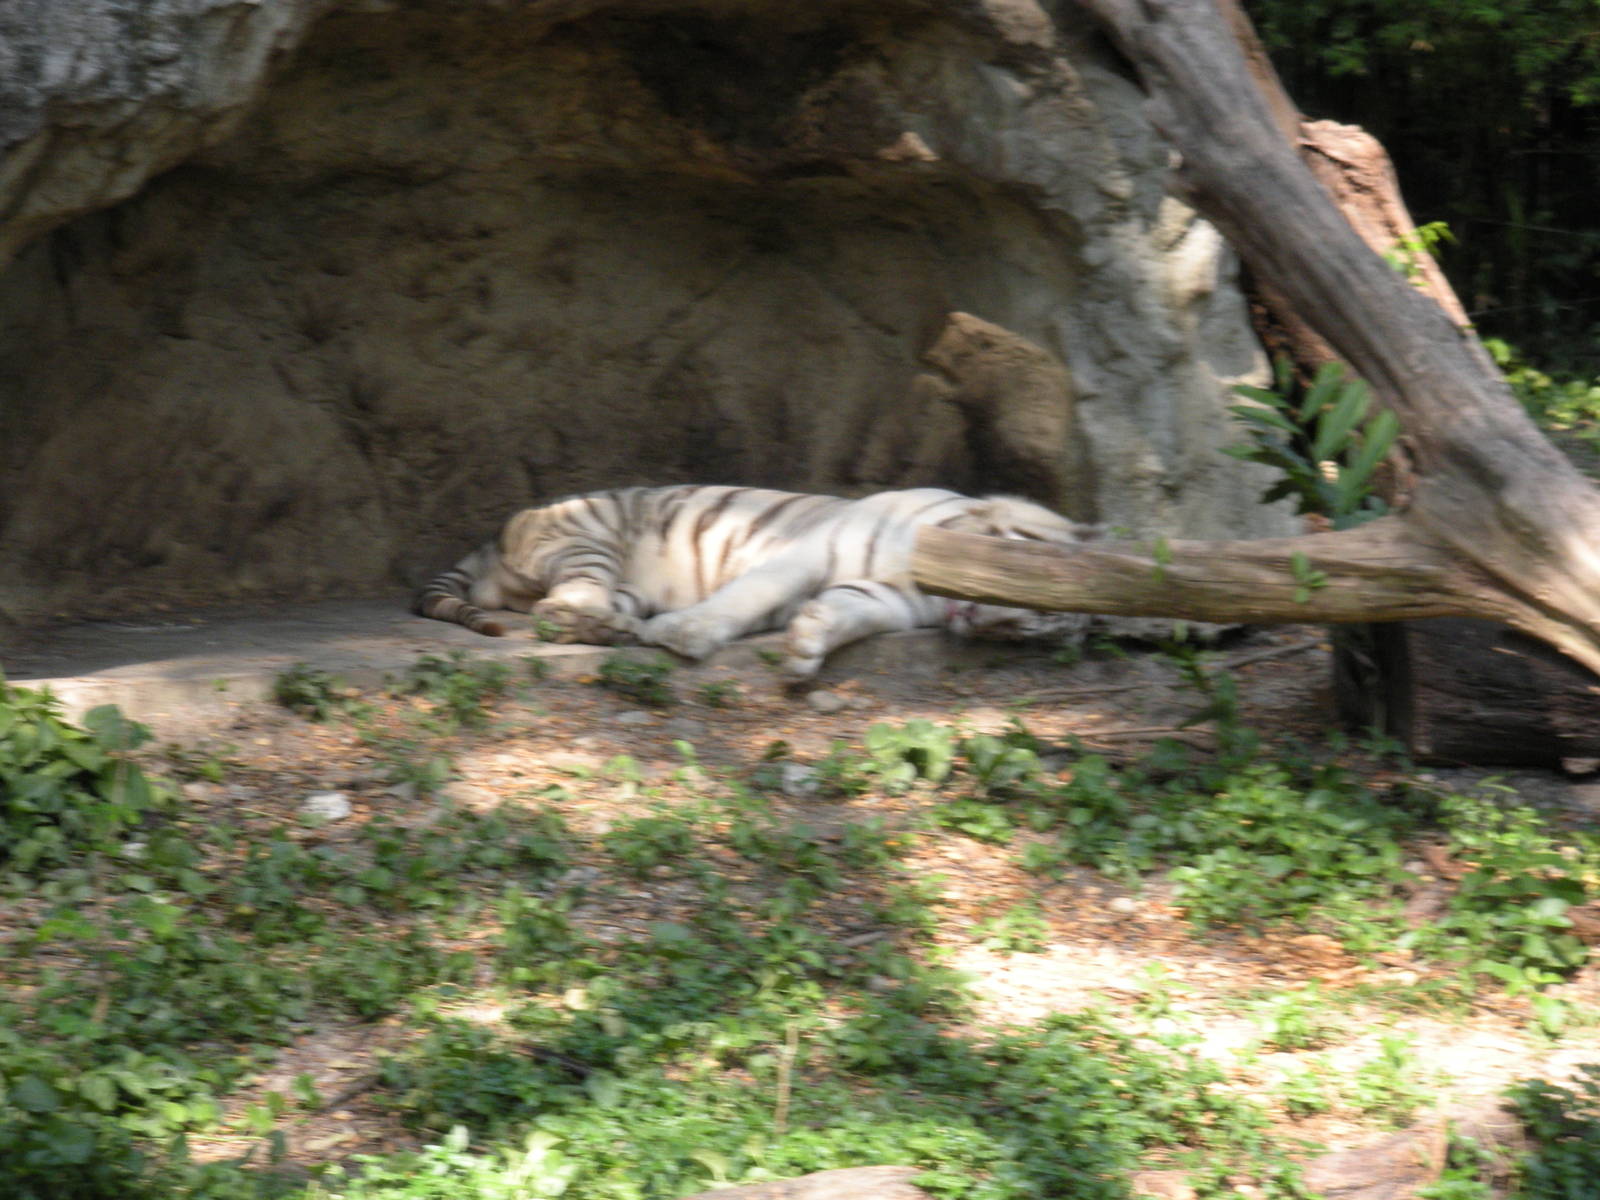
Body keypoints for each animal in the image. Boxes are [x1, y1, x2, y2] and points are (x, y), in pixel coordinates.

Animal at [414, 485, 1096, 679]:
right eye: (1022, 593)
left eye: (1026, 636)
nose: (979, 621)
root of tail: (492, 541)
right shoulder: (818, 548)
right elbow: (749, 594)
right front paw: (687, 636)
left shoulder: (887, 601)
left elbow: (845, 612)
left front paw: (806, 650)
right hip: (591, 538)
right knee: (557, 608)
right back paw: (622, 628)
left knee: (559, 611)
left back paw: (619, 628)